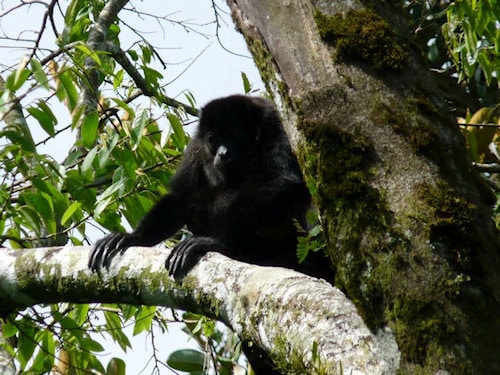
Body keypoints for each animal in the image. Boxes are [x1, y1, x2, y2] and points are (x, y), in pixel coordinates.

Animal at [89, 95, 328, 280]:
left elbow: (286, 181)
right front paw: (133, 237)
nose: (222, 153)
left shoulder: (275, 127)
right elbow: (180, 197)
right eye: (213, 139)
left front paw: (217, 242)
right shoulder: (197, 144)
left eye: (233, 135)